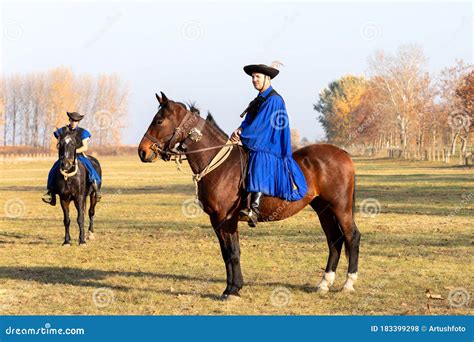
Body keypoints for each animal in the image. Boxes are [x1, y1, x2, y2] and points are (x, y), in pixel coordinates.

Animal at [139, 93, 362, 300]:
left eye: (159, 121)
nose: (142, 151)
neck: (219, 165)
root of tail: (343, 153)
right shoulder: (217, 221)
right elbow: (226, 253)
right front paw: (231, 288)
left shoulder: (226, 219)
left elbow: (233, 253)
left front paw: (233, 290)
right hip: (323, 209)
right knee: (334, 240)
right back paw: (324, 283)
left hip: (340, 207)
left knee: (351, 236)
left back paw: (348, 283)